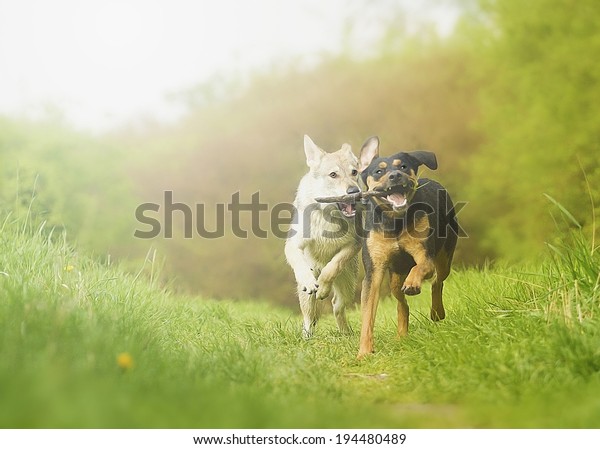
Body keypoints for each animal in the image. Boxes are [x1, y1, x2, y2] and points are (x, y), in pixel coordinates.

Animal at [284, 135, 360, 338]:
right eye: (333, 175)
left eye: (354, 172)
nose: (354, 191)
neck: (329, 216)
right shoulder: (293, 245)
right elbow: (301, 265)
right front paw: (311, 281)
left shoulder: (354, 244)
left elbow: (333, 266)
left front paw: (324, 287)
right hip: (306, 297)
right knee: (309, 316)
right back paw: (307, 337)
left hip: (349, 287)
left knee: (336, 306)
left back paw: (347, 334)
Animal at [356, 136, 460, 356]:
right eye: (379, 171)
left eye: (403, 166)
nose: (395, 175)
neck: (395, 220)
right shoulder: (374, 271)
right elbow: (368, 315)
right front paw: (364, 353)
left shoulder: (424, 254)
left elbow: (419, 266)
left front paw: (413, 283)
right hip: (395, 278)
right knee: (401, 303)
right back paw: (402, 334)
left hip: (444, 258)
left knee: (437, 281)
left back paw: (436, 312)